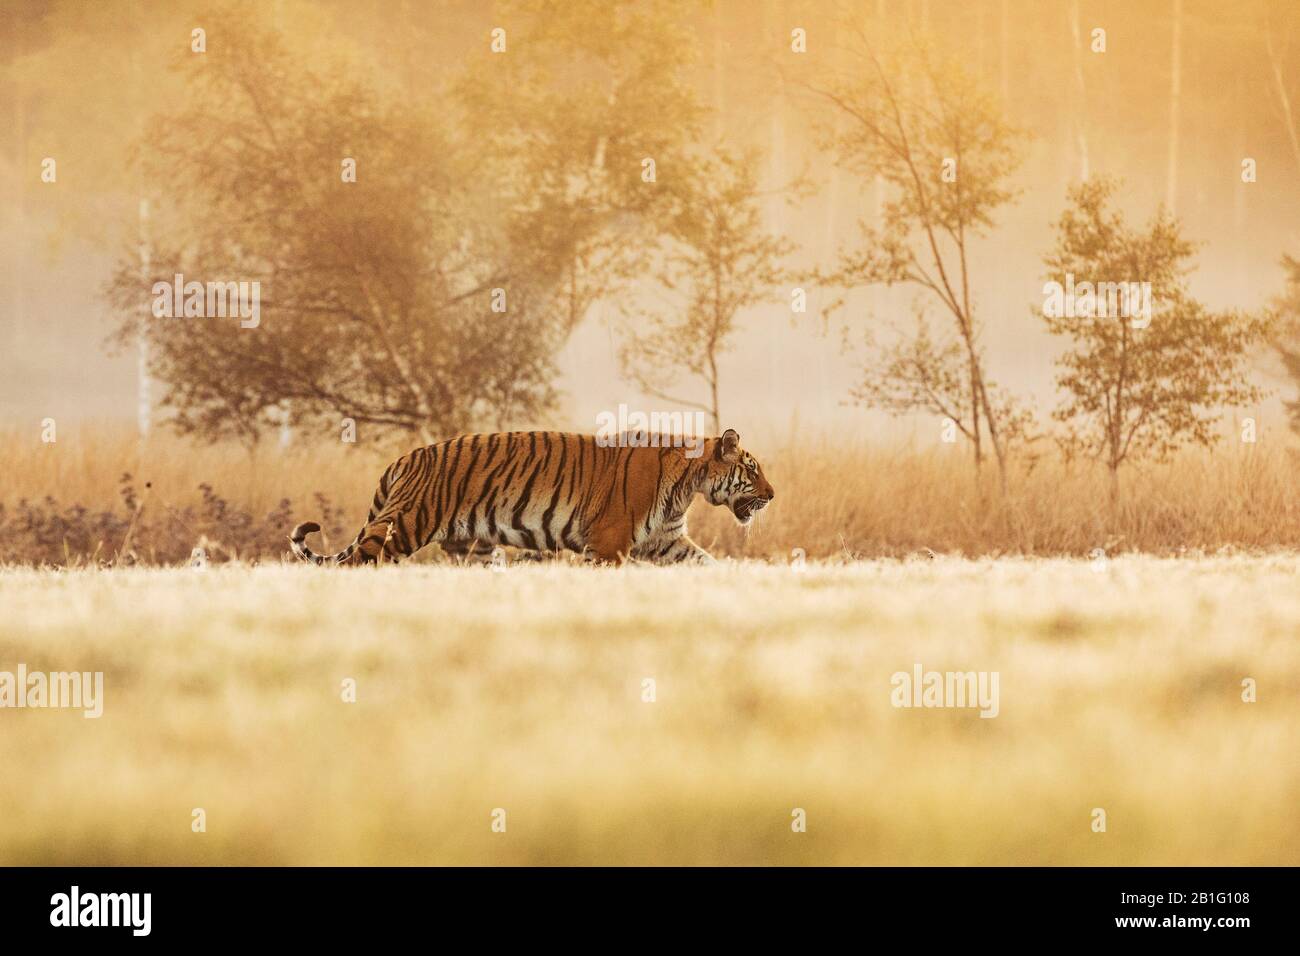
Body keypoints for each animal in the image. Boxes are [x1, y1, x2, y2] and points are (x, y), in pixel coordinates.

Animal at [289, 429, 769, 567]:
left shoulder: (663, 540)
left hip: (473, 548)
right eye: (752, 470)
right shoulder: (610, 542)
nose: (773, 494)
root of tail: (404, 458)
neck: (689, 484)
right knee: (355, 564)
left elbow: (706, 562)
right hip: (404, 524)